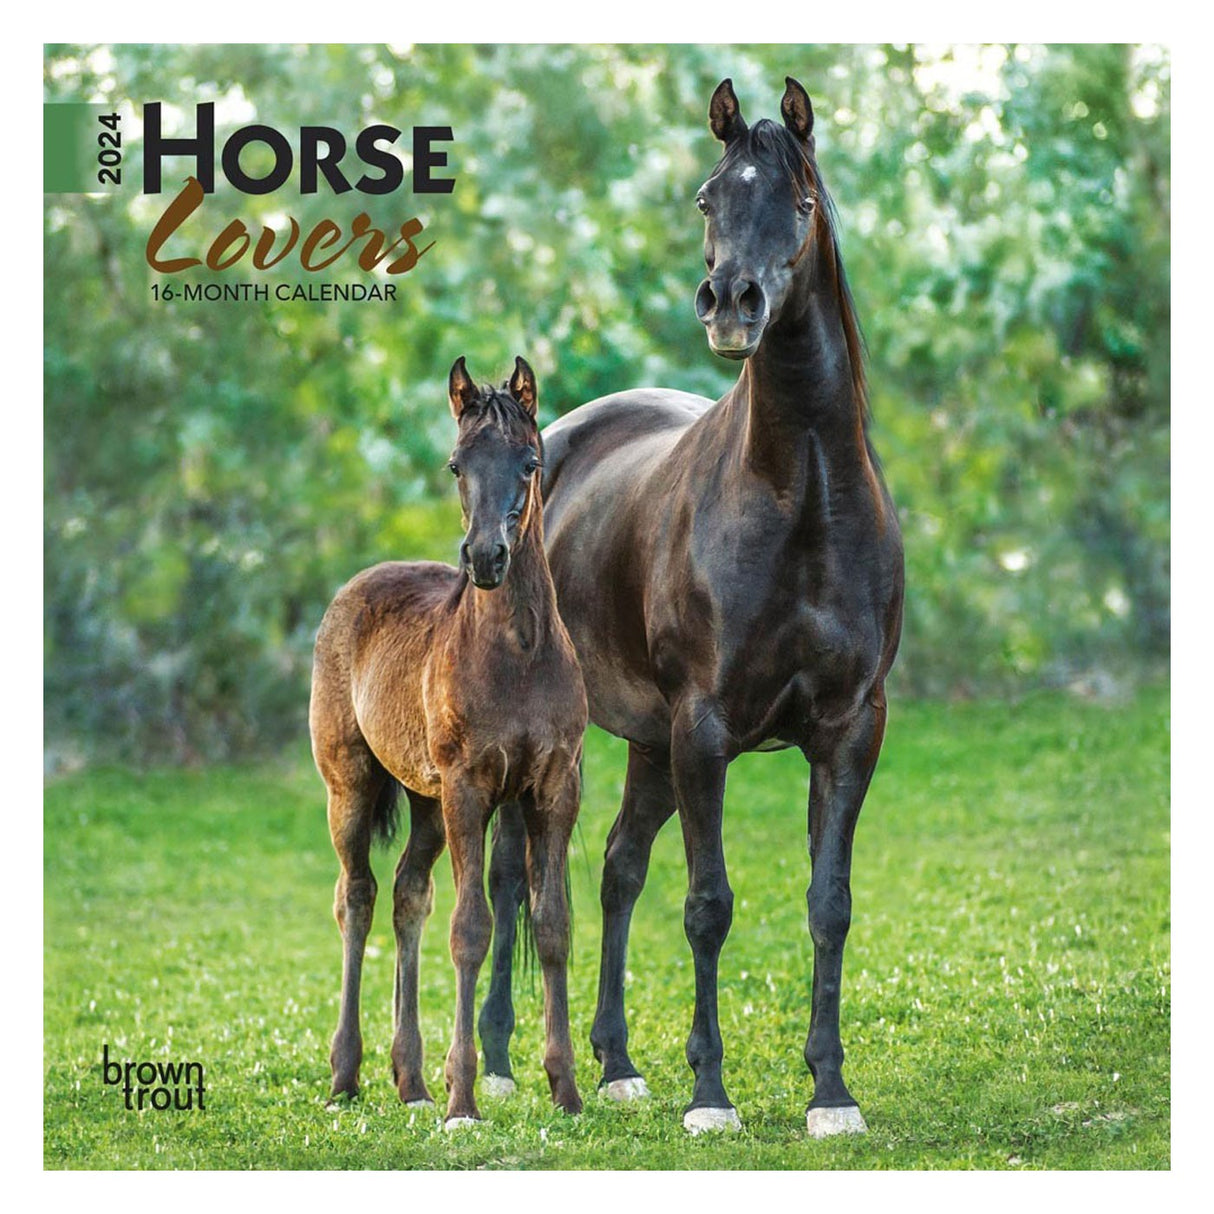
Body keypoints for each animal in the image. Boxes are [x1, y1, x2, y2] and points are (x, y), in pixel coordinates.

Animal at [309, 356, 587, 1127]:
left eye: (530, 462)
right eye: (457, 464)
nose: (486, 557)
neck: (518, 654)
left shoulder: (554, 788)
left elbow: (551, 925)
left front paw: (567, 1089)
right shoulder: (470, 790)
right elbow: (471, 930)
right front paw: (463, 1098)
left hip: (425, 801)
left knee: (408, 896)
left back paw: (410, 1080)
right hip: (350, 785)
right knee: (357, 896)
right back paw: (347, 1075)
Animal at [479, 78, 904, 1137]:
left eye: (799, 200)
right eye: (710, 197)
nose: (730, 302)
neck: (806, 501)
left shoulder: (850, 730)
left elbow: (828, 904)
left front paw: (830, 1092)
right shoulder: (705, 730)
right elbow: (709, 904)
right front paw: (711, 1095)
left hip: (646, 744)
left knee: (617, 869)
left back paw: (619, 1065)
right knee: (510, 879)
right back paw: (499, 1063)